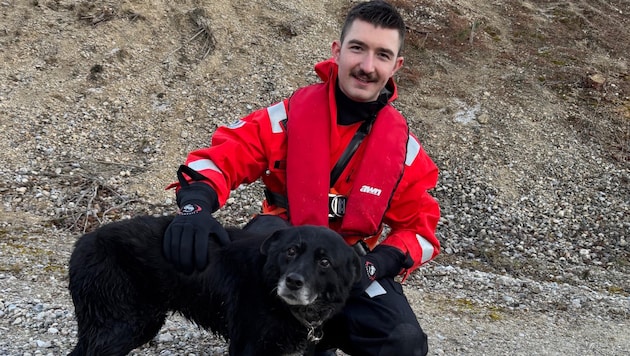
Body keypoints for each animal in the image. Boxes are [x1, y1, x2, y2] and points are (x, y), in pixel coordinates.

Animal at [68, 216, 360, 354]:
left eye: (324, 262)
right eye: (290, 251)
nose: (293, 282)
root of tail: (84, 242)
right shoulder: (248, 346)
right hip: (121, 325)